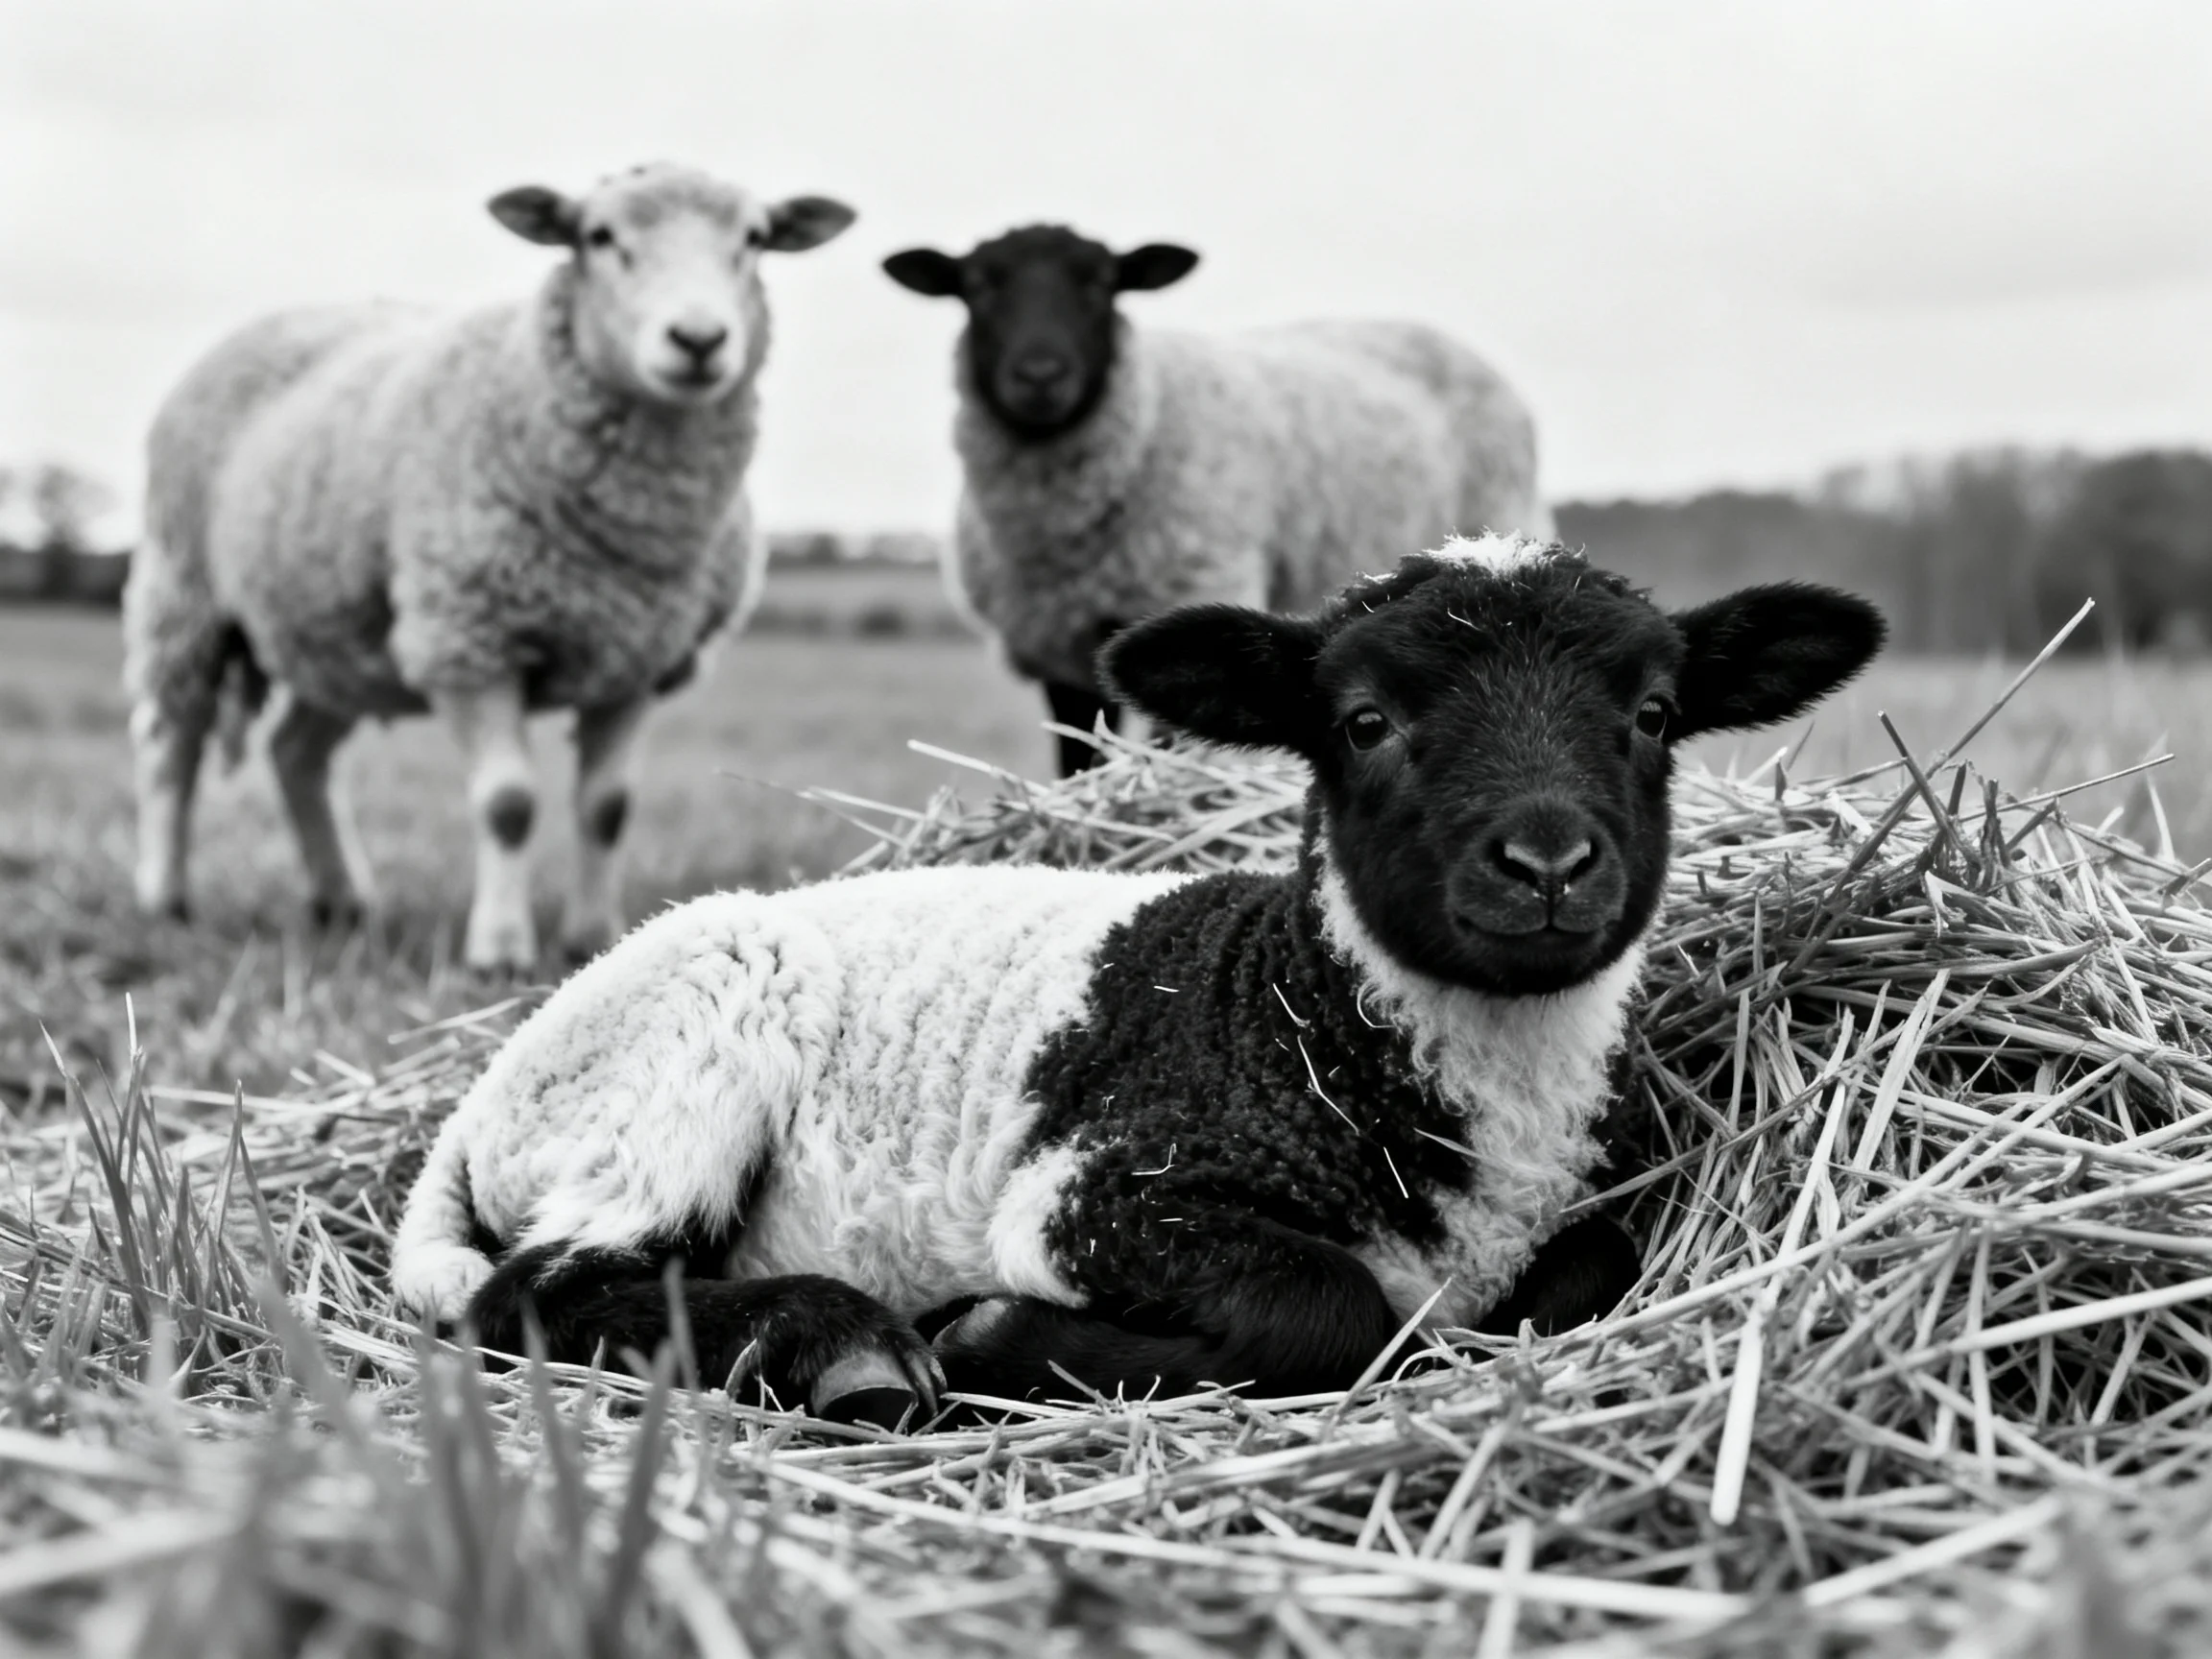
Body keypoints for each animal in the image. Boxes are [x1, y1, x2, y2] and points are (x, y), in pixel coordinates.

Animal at [125, 163, 856, 969]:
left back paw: (341, 902)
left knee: (297, 754)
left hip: (337, 633)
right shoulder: (469, 640)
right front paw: (500, 949)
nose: (698, 339)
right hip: (185, 595)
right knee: (170, 745)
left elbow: (607, 810)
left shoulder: (635, 659)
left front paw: (593, 937)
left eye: (755, 239)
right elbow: (509, 805)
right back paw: (166, 897)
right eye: (599, 235)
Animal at [390, 534, 1884, 1424]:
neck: (1306, 1019)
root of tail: (475, 1110)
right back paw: (839, 1343)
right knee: (541, 1291)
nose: (1549, 862)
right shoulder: (1097, 1194)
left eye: (1653, 717)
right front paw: (990, 1338)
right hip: (687, 1050)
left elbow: (1591, 1268)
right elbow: (1330, 1310)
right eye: (1364, 721)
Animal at [881, 225, 1554, 776]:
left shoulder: (1186, 594)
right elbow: (1076, 761)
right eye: (977, 285)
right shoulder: (1058, 652)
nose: (1040, 376)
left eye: (1101, 283)